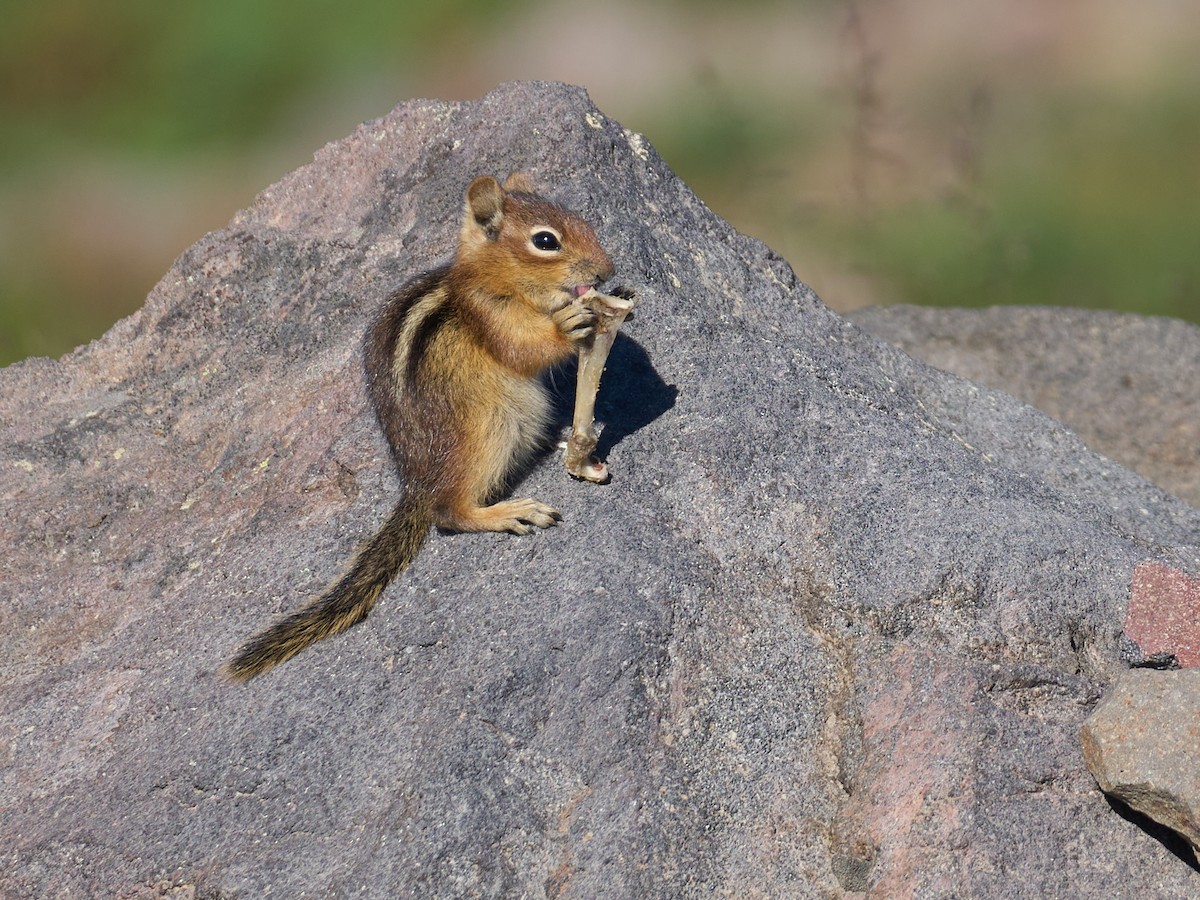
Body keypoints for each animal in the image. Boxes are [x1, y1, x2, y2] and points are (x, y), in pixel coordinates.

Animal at [224, 172, 616, 681]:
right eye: (546, 241)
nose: (606, 271)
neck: (491, 279)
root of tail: (416, 483)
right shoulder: (492, 317)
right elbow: (524, 349)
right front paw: (568, 323)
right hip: (487, 431)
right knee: (448, 513)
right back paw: (509, 512)